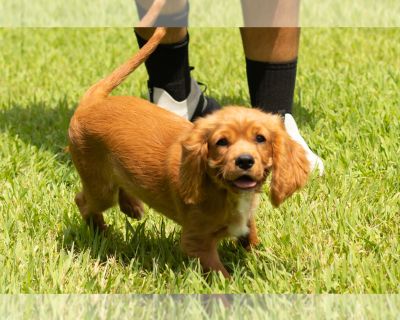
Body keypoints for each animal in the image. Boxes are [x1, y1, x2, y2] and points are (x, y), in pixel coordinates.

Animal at [69, 27, 310, 278]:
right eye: (221, 142)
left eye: (260, 138)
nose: (244, 161)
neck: (224, 190)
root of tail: (92, 102)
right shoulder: (196, 241)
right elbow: (221, 275)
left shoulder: (244, 220)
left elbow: (250, 235)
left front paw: (261, 257)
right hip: (99, 185)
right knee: (83, 201)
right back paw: (101, 234)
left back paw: (131, 207)